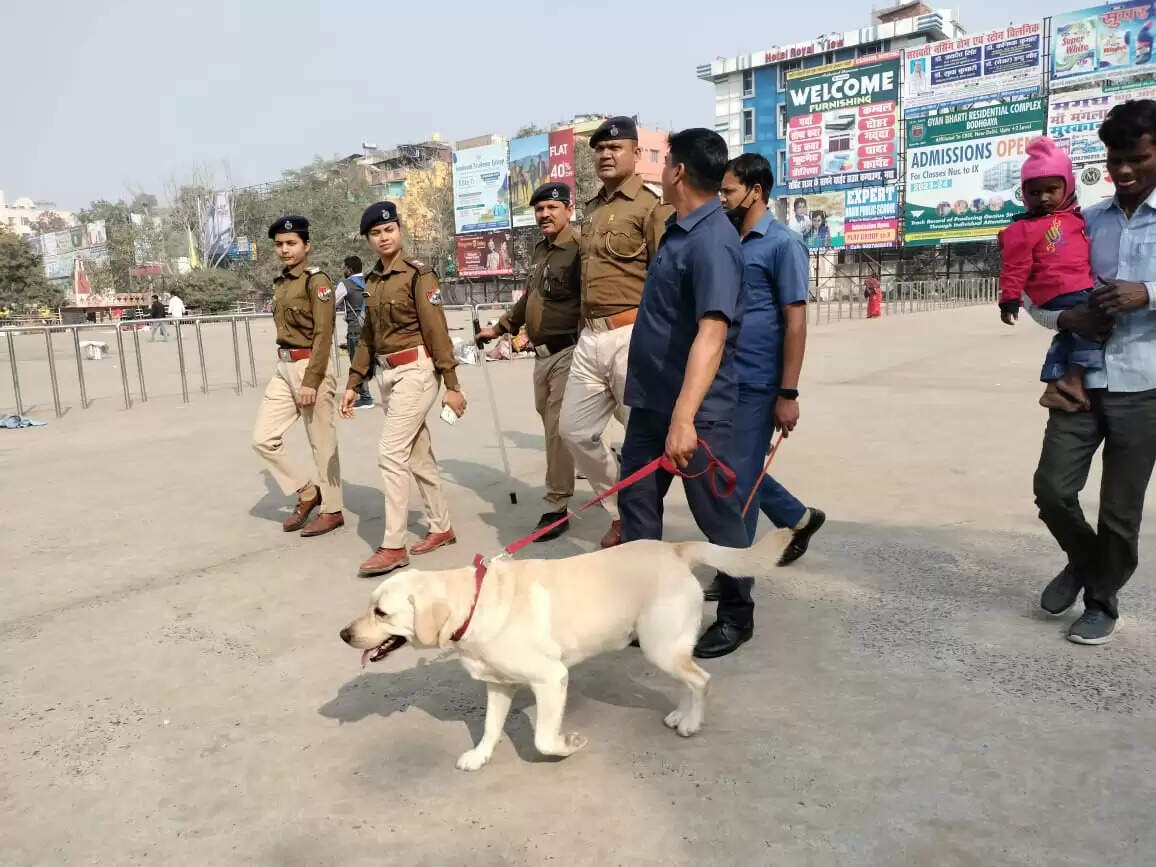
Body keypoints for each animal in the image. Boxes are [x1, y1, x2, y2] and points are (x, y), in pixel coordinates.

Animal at [335, 529, 786, 772]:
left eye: (380, 612)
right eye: (368, 605)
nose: (343, 634)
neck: (474, 602)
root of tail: (675, 548)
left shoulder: (552, 680)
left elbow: (543, 740)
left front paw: (570, 744)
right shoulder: (499, 686)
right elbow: (490, 727)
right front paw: (480, 756)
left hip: (660, 645)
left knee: (702, 680)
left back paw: (692, 723)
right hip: (663, 646)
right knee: (687, 681)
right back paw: (681, 713)